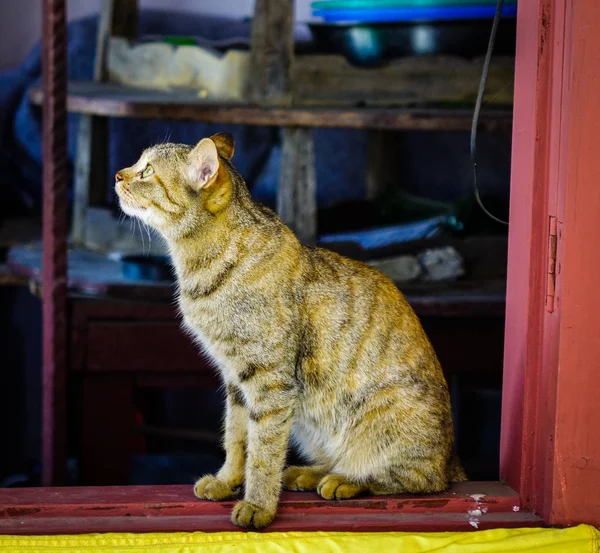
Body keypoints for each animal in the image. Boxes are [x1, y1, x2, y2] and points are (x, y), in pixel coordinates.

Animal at [115, 132, 466, 528]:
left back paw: (345, 480)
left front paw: (258, 505)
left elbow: (263, 451)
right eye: (137, 164)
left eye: (146, 171)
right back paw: (309, 473)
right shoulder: (235, 380)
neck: (200, 269)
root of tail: (452, 461)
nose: (117, 175)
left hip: (384, 420)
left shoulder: (270, 383)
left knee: (417, 479)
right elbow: (236, 437)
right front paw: (227, 480)